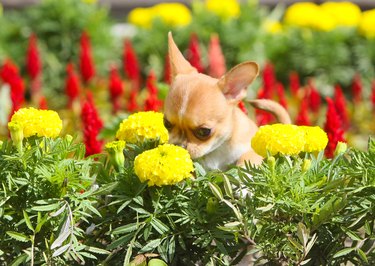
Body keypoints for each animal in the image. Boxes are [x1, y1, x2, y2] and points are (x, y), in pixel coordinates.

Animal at [164, 32, 290, 170]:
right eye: (166, 123)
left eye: (204, 131)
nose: (178, 145)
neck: (218, 150)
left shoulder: (252, 149)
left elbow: (246, 158)